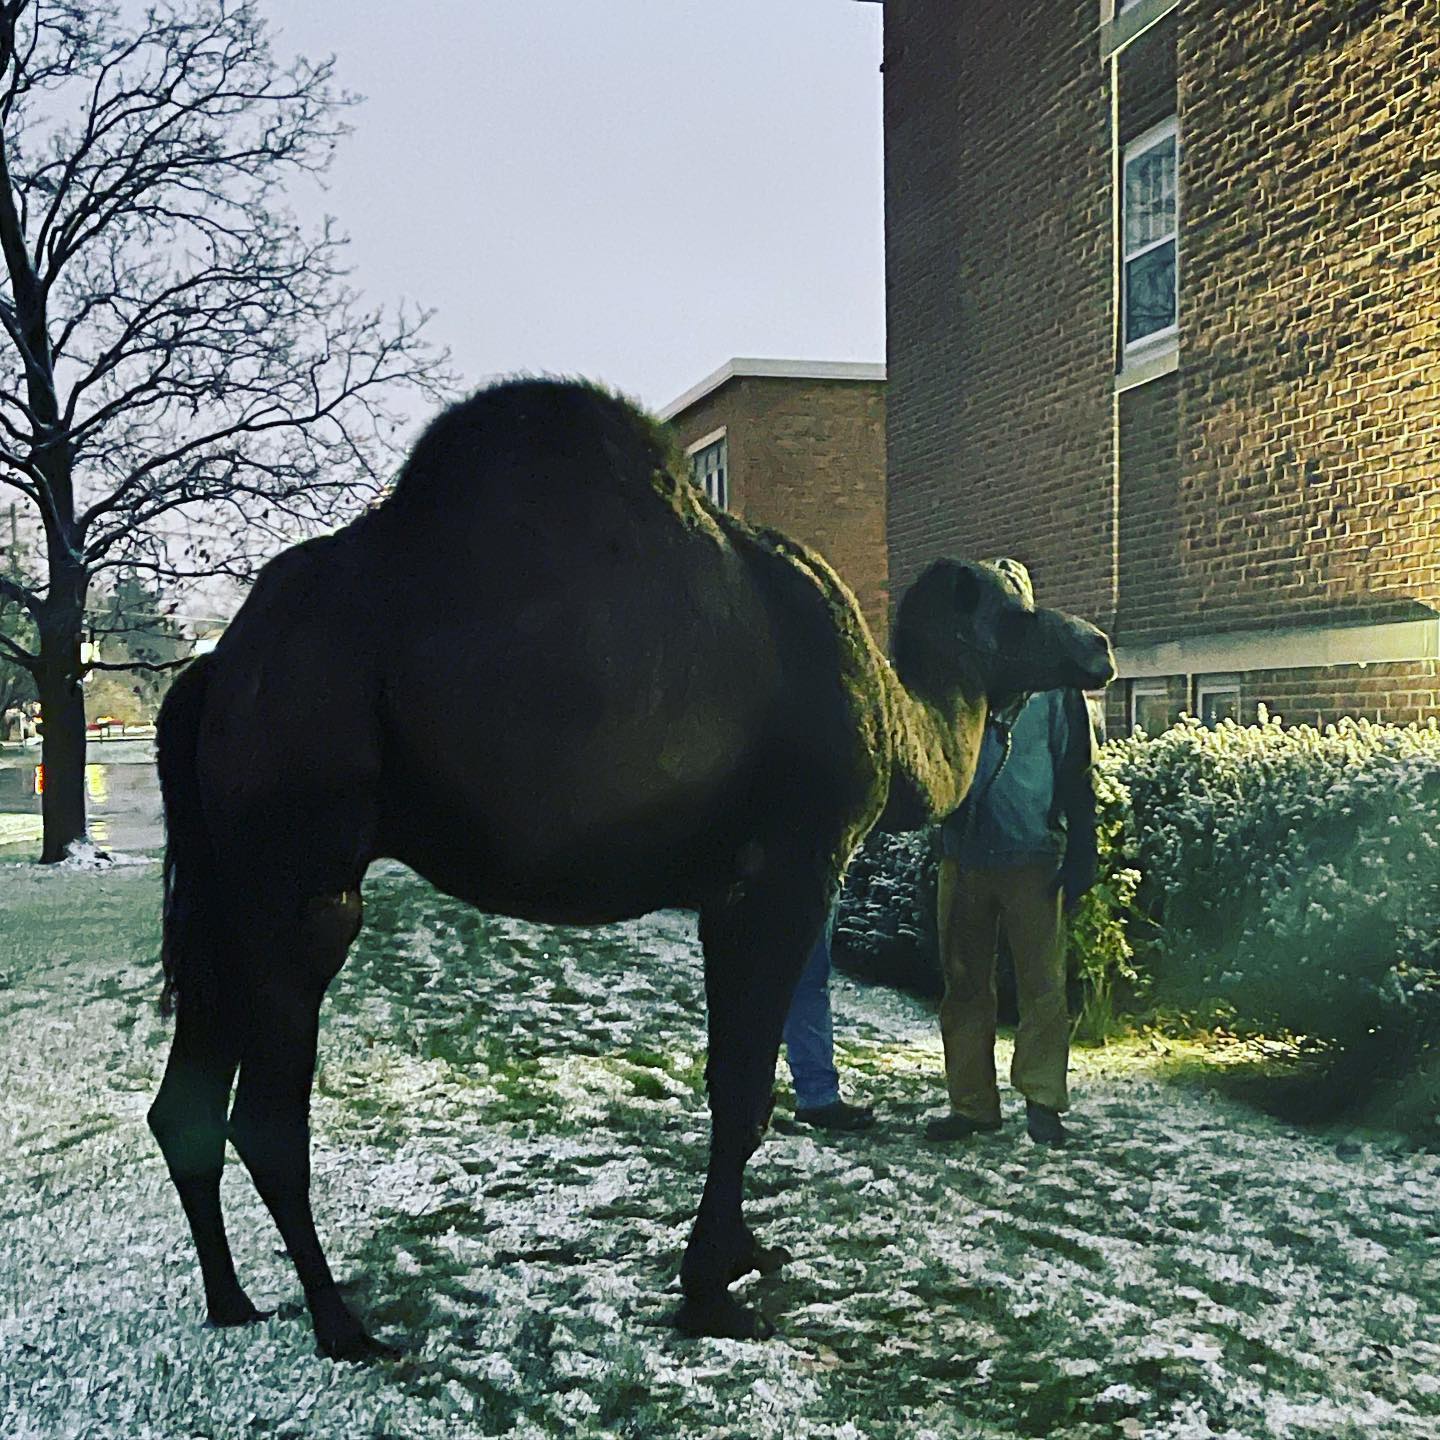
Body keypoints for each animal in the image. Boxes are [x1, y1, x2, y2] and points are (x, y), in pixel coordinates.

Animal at [149, 377, 1111, 1353]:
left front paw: (745, 1255)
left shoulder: (733, 889)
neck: (894, 708)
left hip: (228, 883)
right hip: (302, 868)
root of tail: (214, 674)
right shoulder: (782, 875)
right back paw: (343, 1325)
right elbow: (741, 1090)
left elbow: (738, 1087)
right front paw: (712, 1293)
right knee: (264, 1117)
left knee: (184, 1103)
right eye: (1016, 610)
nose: (1098, 648)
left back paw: (232, 1299)